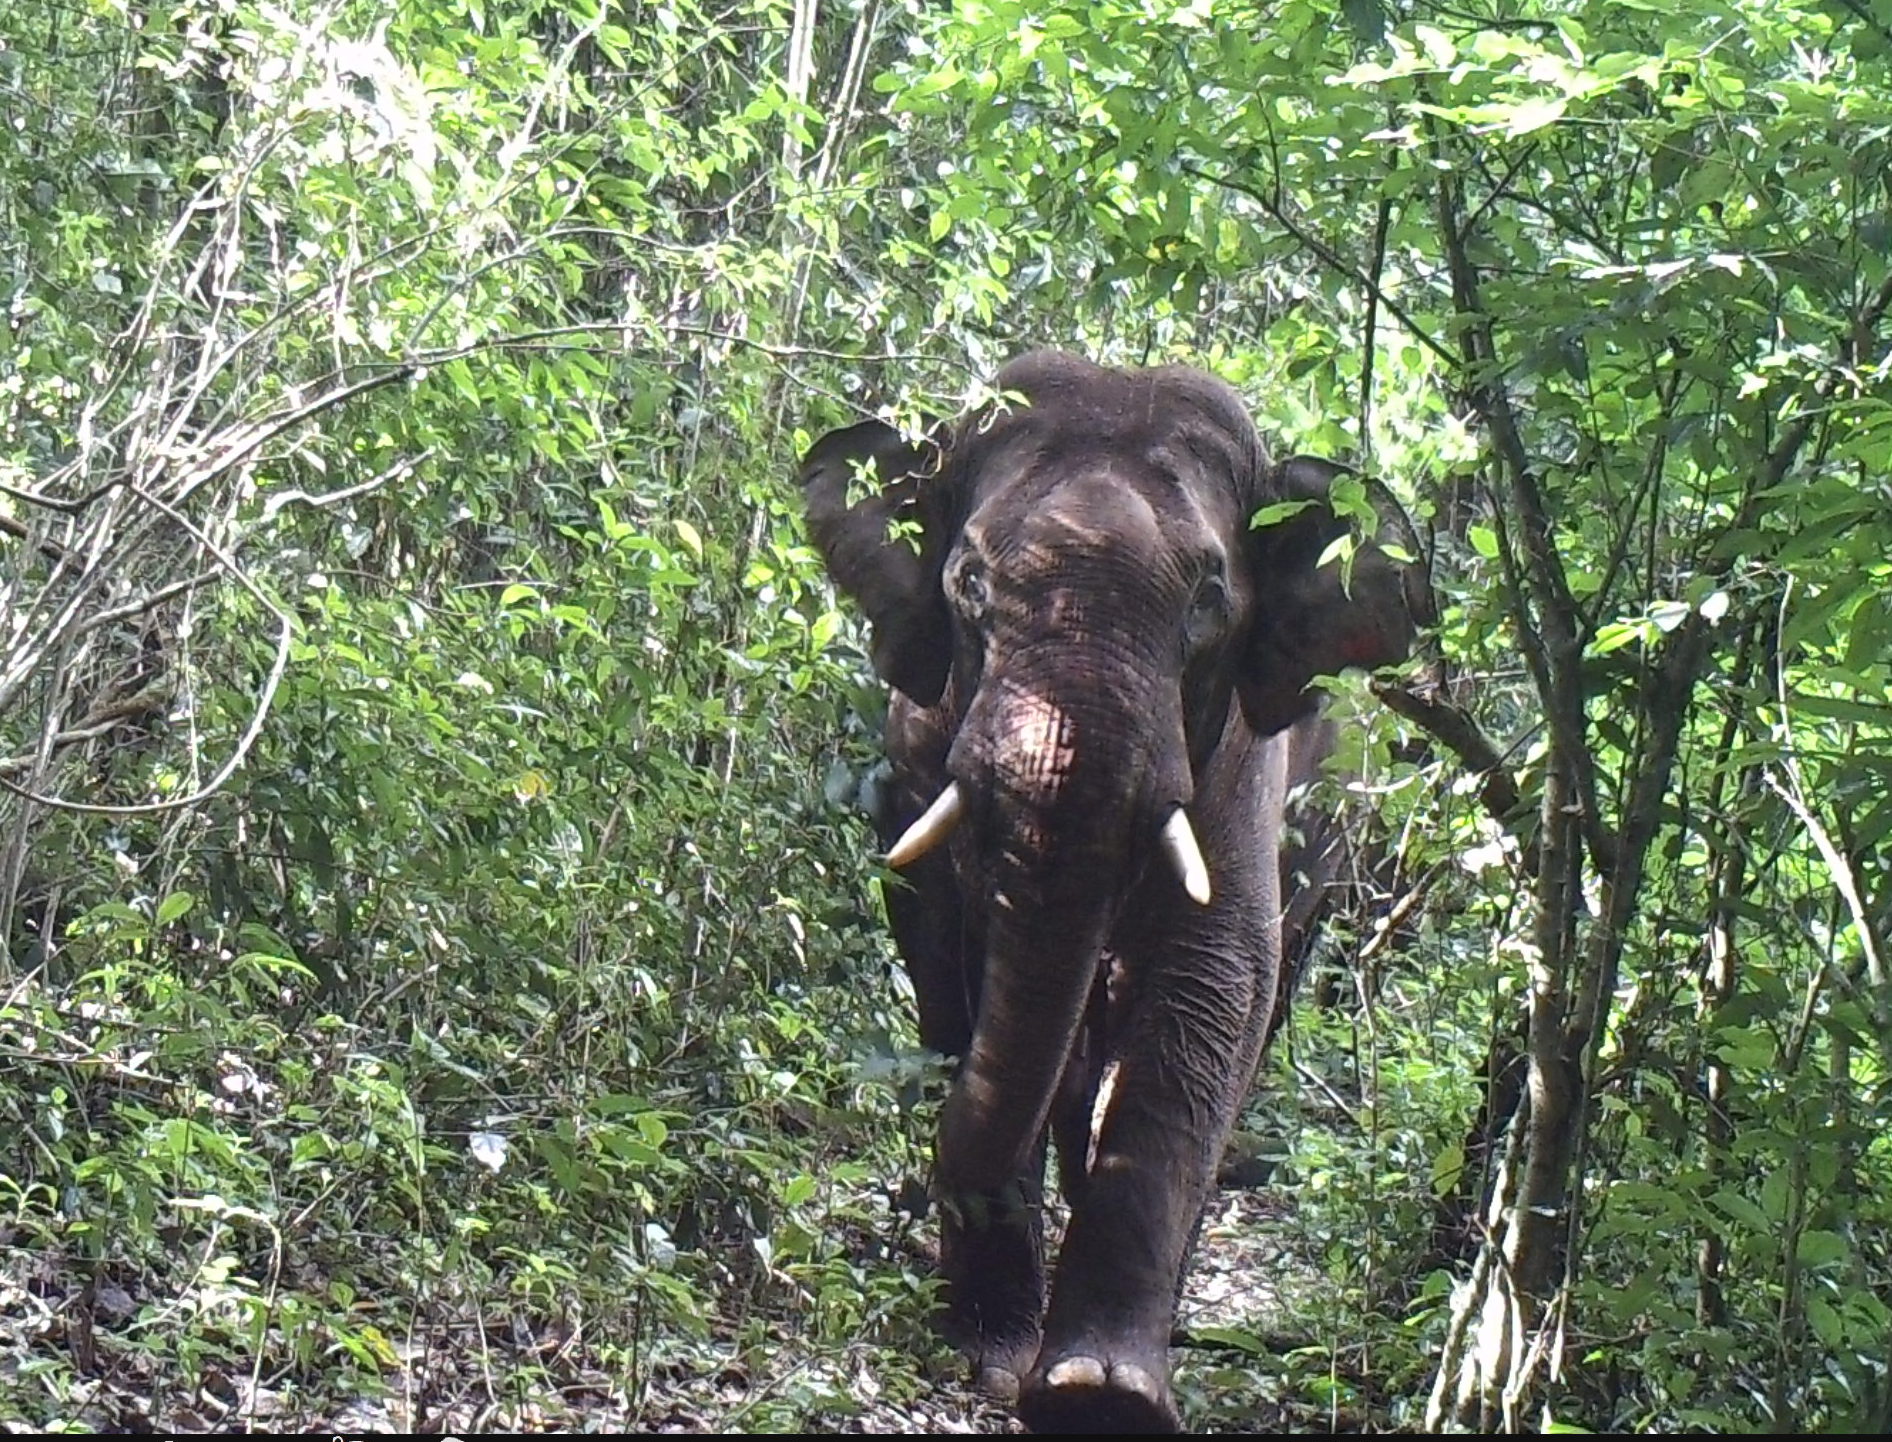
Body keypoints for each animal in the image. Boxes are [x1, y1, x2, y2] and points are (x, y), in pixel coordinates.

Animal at [790, 348, 1415, 1430]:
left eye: (1209, 595)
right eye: (969, 581)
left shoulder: (1243, 764)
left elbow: (1211, 983)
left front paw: (1099, 1393)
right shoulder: (920, 745)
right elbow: (953, 957)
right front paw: (989, 1354)